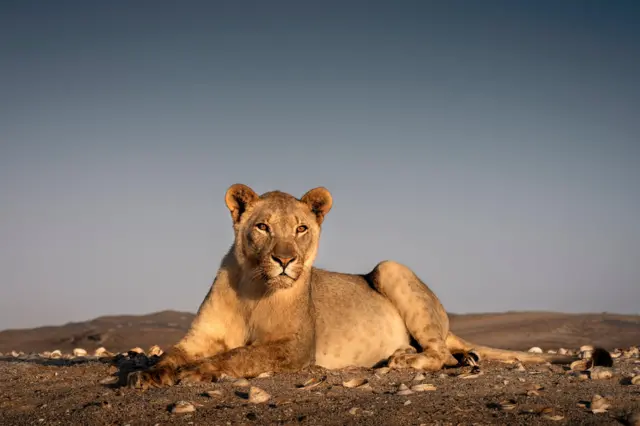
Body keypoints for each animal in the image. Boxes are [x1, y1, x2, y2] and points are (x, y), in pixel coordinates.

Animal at [127, 184, 581, 389]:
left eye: (301, 228)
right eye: (262, 227)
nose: (285, 260)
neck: (254, 288)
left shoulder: (295, 347)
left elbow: (237, 356)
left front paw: (191, 373)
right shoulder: (200, 336)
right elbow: (172, 353)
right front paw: (147, 374)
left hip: (390, 267)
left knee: (436, 353)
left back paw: (402, 359)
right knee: (450, 354)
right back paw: (460, 358)